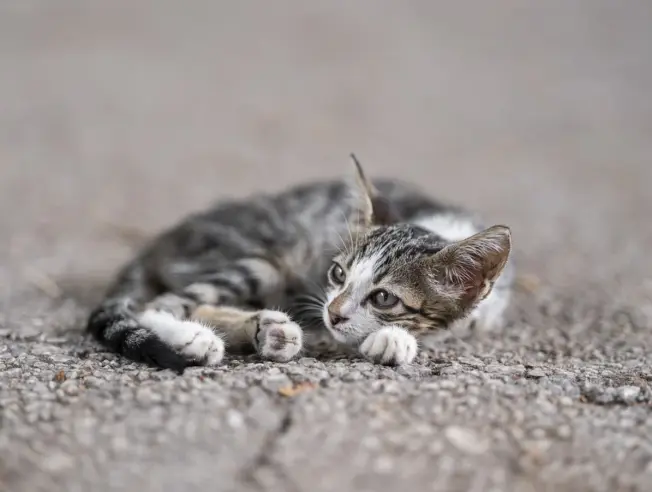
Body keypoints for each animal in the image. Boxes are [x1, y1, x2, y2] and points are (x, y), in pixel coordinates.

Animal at [88, 158, 516, 372]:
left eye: (384, 298)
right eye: (338, 274)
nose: (333, 314)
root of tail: (159, 241)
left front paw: (392, 336)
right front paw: (396, 339)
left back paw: (270, 330)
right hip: (263, 260)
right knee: (158, 303)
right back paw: (198, 338)